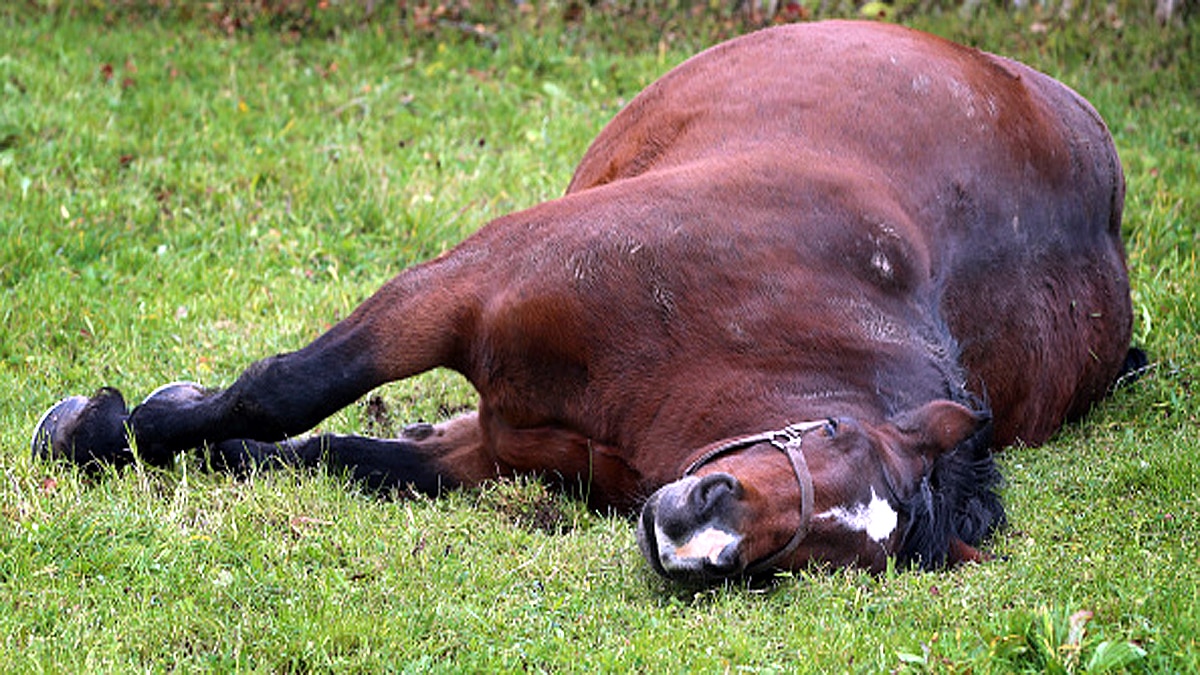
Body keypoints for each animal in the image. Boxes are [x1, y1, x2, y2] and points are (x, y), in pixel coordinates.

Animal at [33, 20, 1138, 583]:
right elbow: (284, 391)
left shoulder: (500, 445)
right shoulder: (454, 288)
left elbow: (341, 456)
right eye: (829, 434)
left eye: (815, 559)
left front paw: (165, 437)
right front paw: (93, 431)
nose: (698, 536)